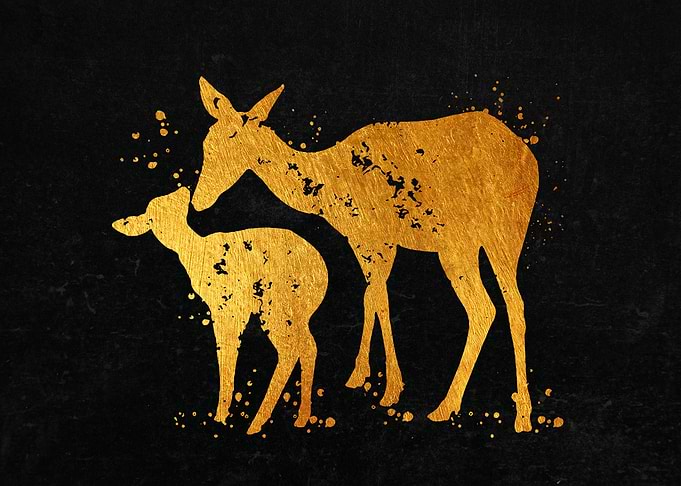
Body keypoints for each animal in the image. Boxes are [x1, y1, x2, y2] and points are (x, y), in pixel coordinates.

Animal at [112, 187, 328, 435]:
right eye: (162, 205)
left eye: (169, 200)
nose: (183, 189)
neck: (198, 252)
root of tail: (322, 274)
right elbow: (226, 351)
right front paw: (223, 414)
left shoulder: (228, 307)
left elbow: (226, 352)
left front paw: (221, 415)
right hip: (296, 313)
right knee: (307, 346)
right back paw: (299, 418)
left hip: (276, 308)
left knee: (290, 350)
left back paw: (257, 423)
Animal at [191, 77, 539, 432]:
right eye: (206, 142)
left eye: (230, 138)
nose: (198, 200)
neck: (326, 188)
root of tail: (531, 160)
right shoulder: (361, 240)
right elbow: (369, 296)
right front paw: (359, 375)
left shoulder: (377, 238)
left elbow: (380, 299)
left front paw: (391, 390)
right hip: (485, 242)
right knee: (502, 306)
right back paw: (493, 410)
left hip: (480, 237)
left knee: (495, 306)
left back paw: (476, 409)